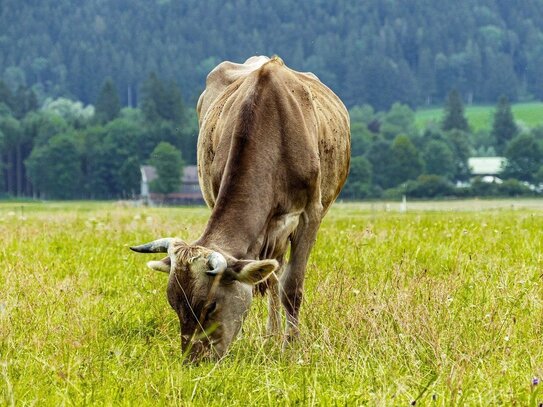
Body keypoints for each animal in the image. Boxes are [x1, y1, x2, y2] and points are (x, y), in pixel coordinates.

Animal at [132, 55, 352, 360]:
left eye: (210, 306)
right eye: (174, 304)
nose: (194, 361)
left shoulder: (311, 214)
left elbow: (292, 287)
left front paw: (291, 346)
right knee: (271, 278)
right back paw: (271, 334)